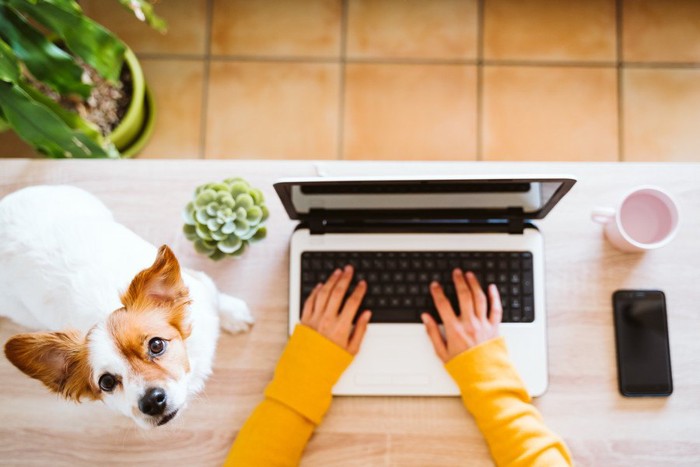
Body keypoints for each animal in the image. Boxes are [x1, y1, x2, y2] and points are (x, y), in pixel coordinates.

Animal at [0, 186, 254, 428]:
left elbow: (215, 295)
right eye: (107, 382)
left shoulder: (199, 285)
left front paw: (234, 314)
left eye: (157, 345)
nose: (151, 401)